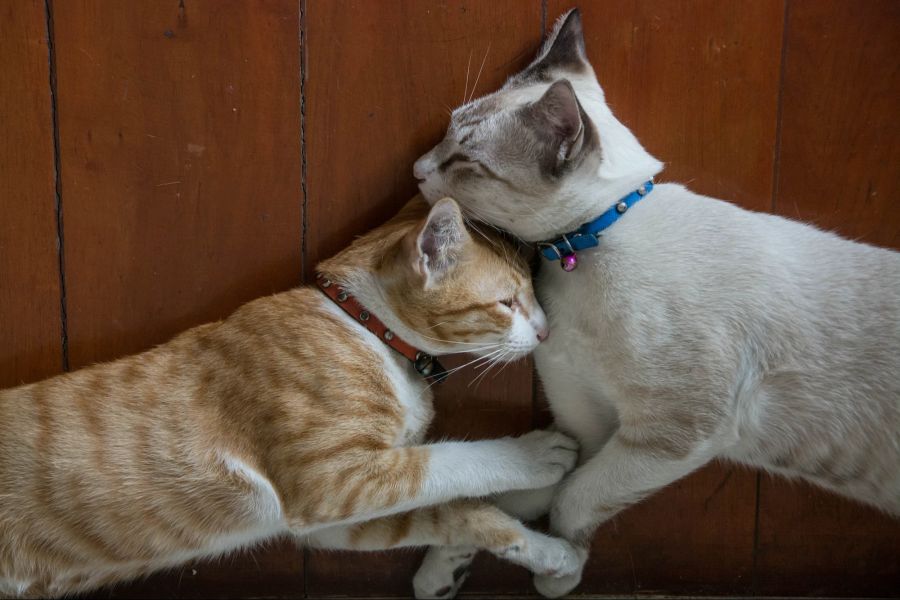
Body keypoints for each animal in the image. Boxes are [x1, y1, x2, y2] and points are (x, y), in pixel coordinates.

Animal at [0, 198, 580, 600]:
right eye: (507, 302)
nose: (548, 331)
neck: (365, 326)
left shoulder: (337, 521)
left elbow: (456, 511)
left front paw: (547, 553)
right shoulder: (332, 479)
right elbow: (456, 462)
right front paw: (533, 455)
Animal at [414, 9, 900, 600]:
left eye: (462, 159)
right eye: (445, 134)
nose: (416, 168)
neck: (582, 248)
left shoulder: (672, 435)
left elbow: (572, 501)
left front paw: (562, 572)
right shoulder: (585, 426)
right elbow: (518, 498)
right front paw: (443, 574)